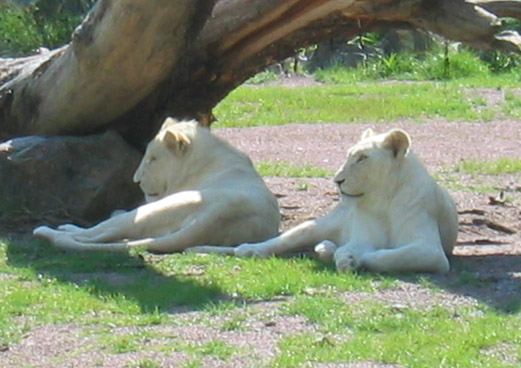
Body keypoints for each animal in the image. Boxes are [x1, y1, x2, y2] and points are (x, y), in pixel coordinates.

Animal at [33, 118, 280, 253]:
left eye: (152, 159)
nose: (136, 179)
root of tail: (215, 217)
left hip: (156, 209)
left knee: (94, 235)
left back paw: (57, 230)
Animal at [191, 127, 456, 274]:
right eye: (349, 156)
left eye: (362, 158)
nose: (337, 180)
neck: (383, 201)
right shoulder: (362, 238)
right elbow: (354, 249)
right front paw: (347, 259)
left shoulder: (429, 250)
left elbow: (387, 255)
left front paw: (354, 260)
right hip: (312, 226)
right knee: (272, 244)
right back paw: (249, 249)